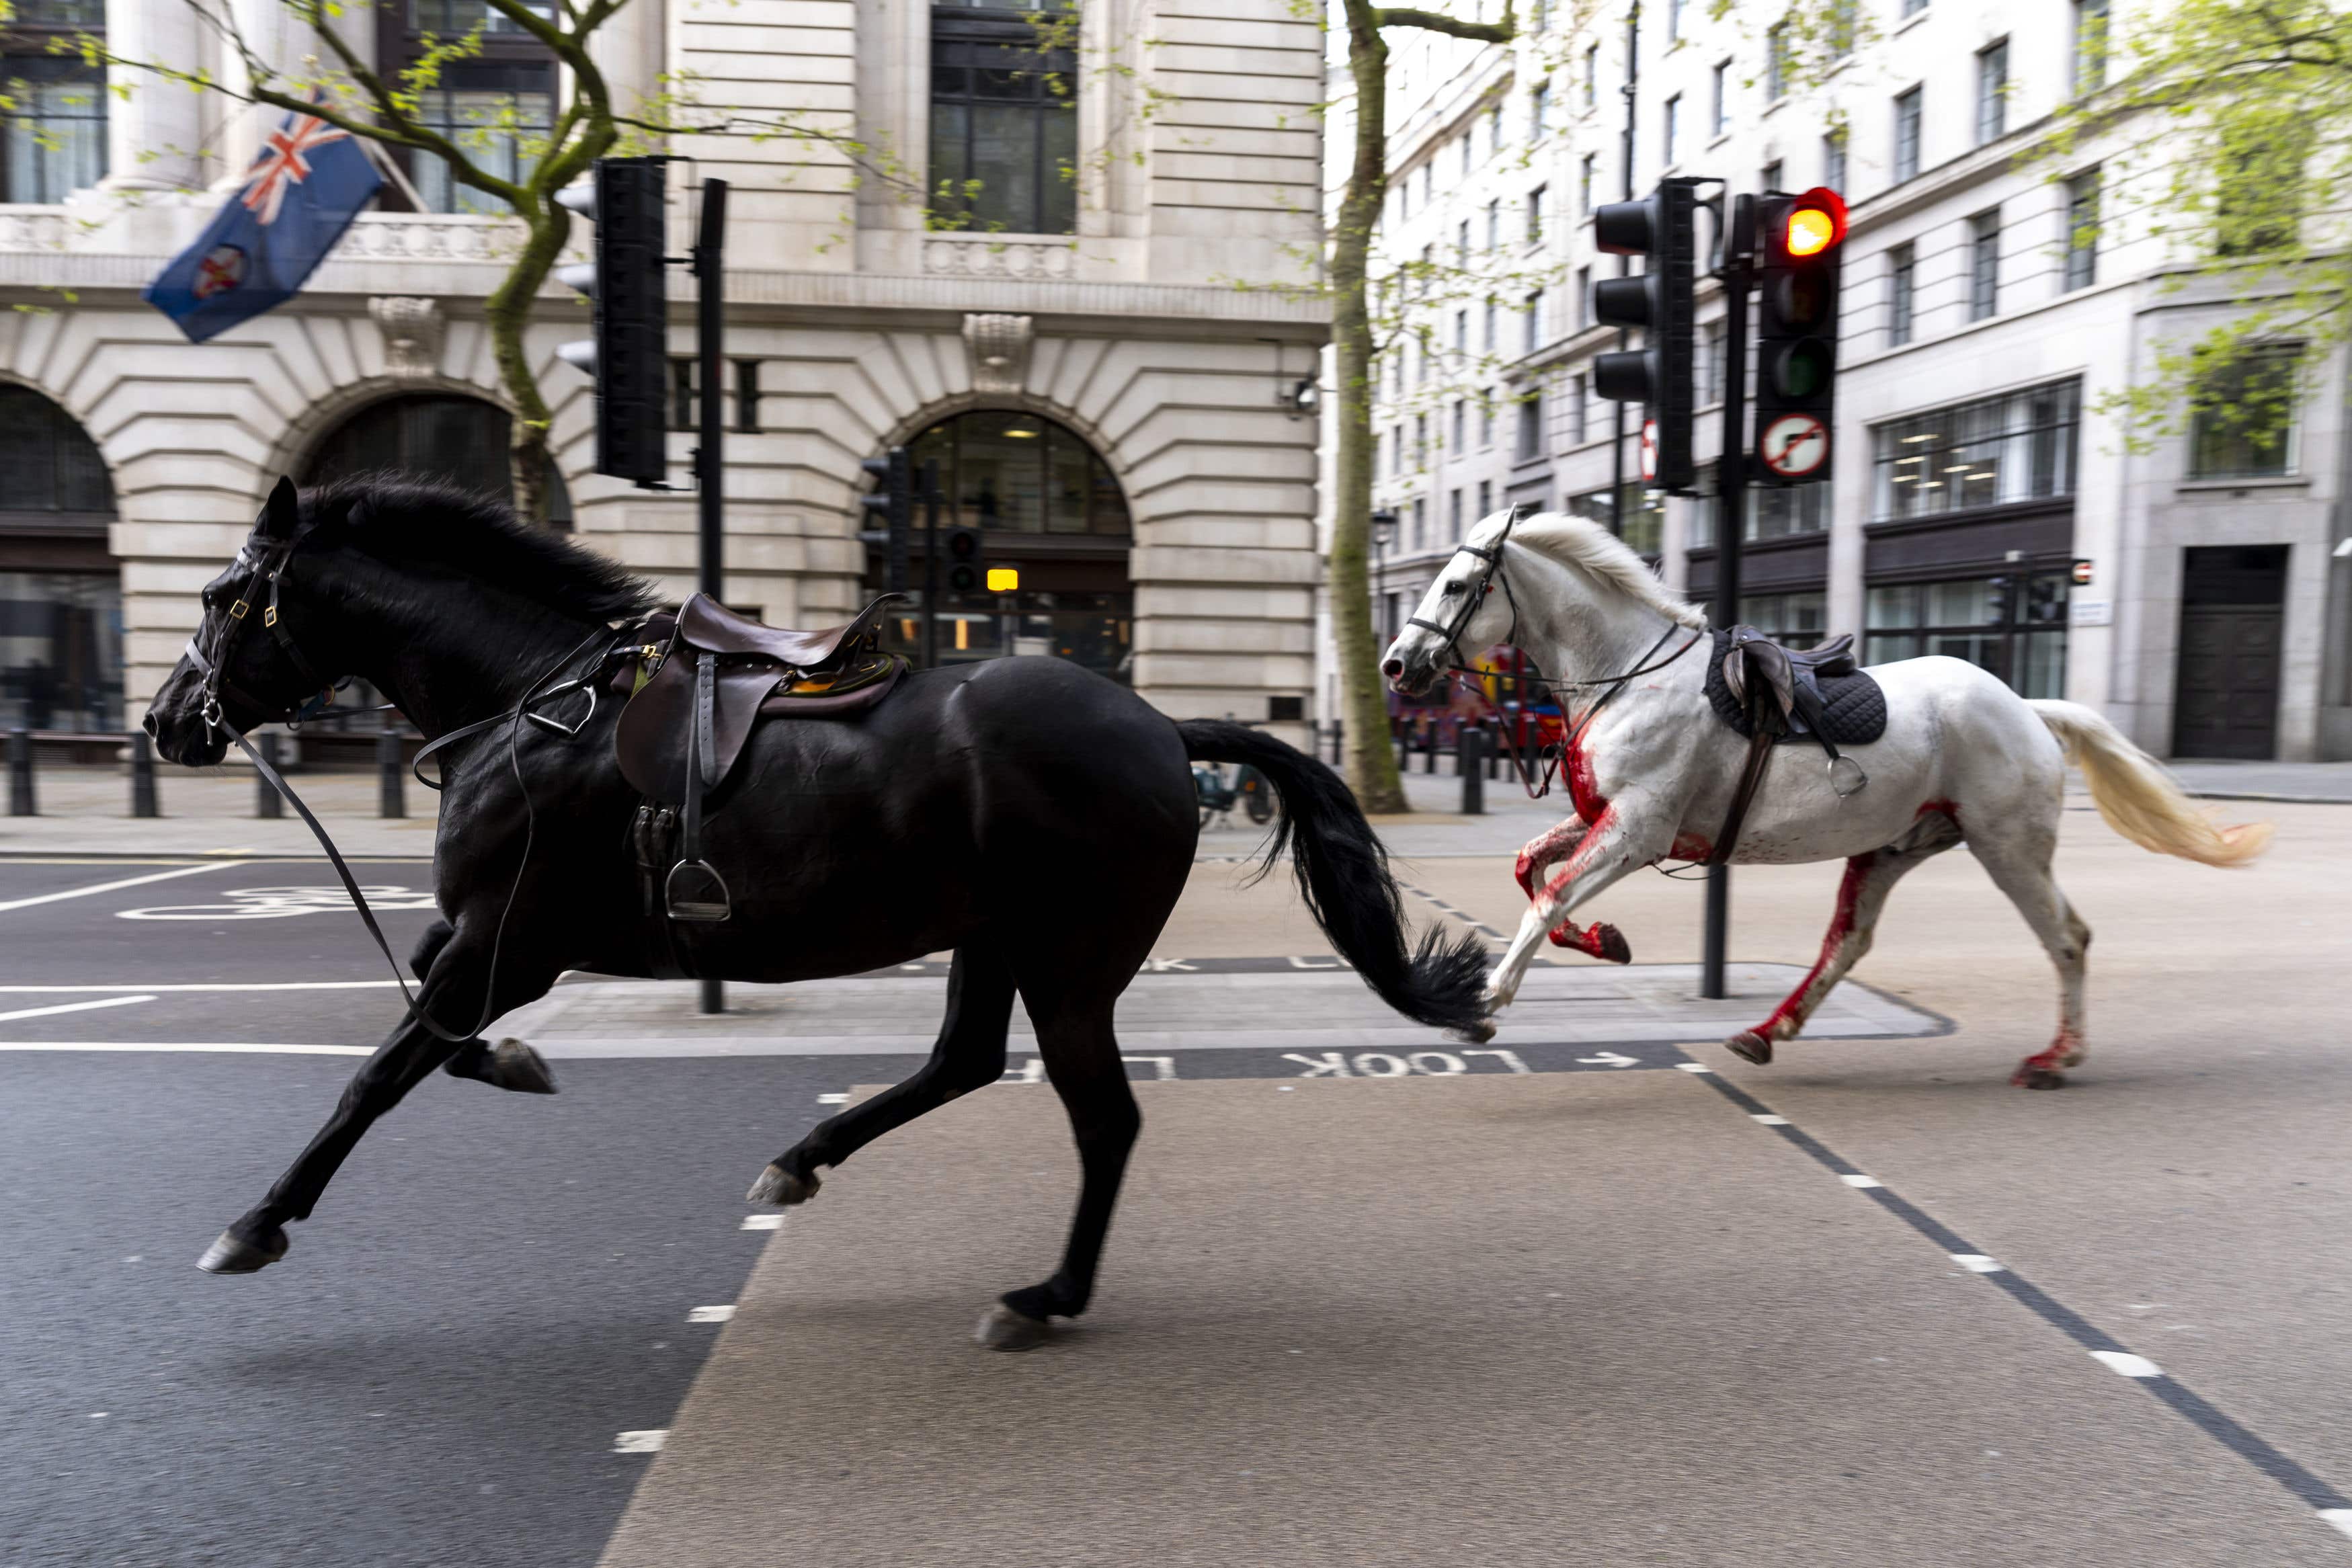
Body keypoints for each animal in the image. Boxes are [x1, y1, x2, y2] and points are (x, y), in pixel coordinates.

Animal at [142, 479, 1467, 1354]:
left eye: (218, 593)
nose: (162, 724)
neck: (531, 703)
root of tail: (1158, 725)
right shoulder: (483, 941)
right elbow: (430, 1027)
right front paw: (517, 1064)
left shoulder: (510, 941)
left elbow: (378, 1072)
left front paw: (257, 1221)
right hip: (993, 935)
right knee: (962, 1060)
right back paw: (802, 1161)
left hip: (1069, 957)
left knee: (1102, 1116)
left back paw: (1042, 1295)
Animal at [1383, 510, 2267, 1085]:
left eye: (1456, 584)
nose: (1395, 664)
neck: (1627, 674)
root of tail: (2025, 705)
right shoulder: (1606, 819)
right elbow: (1531, 869)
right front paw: (1605, 939)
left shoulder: (1637, 829)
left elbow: (1547, 897)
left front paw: (1486, 1000)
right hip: (1891, 847)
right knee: (1848, 942)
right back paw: (1766, 1031)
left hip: (2007, 847)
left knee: (2068, 938)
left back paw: (2058, 1056)